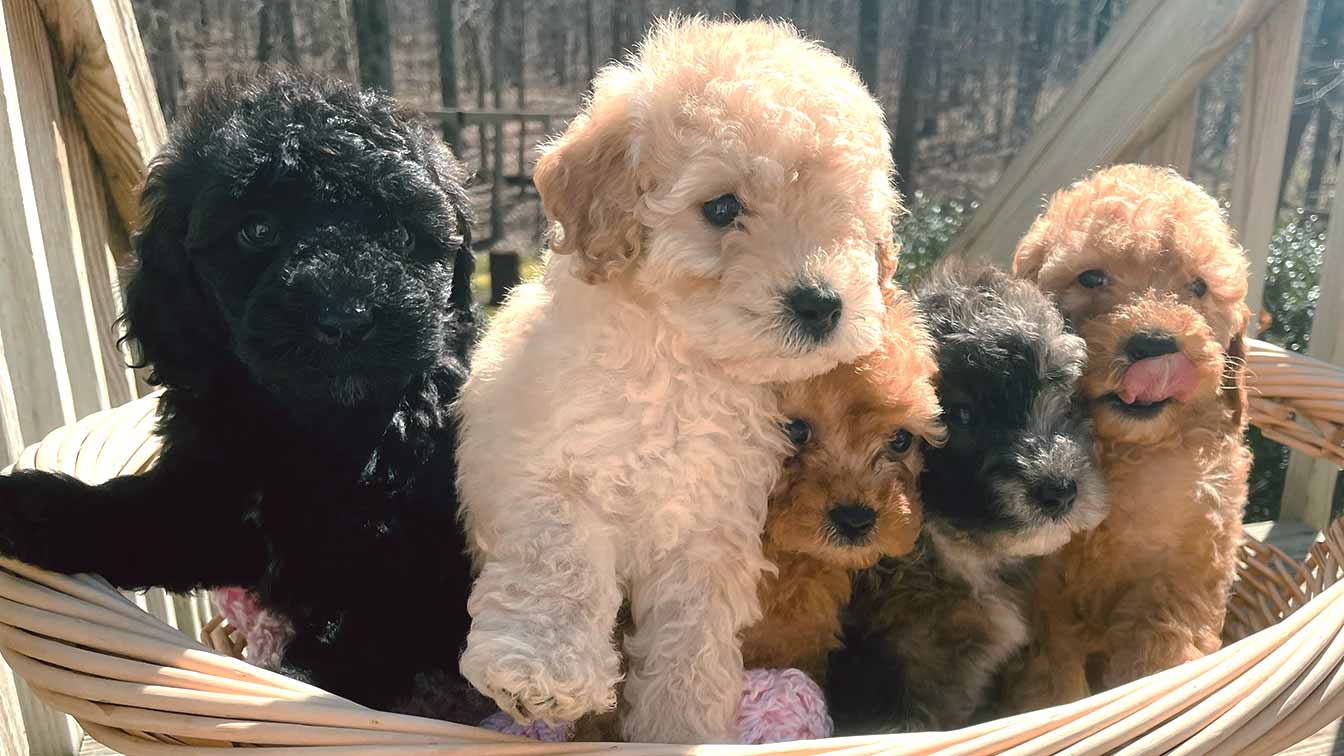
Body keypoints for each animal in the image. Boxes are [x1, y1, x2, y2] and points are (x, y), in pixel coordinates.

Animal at [0, 71, 489, 715]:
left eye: (401, 235)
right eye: (258, 230)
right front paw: (31, 505)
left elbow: (368, 631)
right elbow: (143, 518)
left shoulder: (413, 553)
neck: (313, 427)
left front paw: (299, 685)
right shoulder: (213, 499)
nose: (346, 318)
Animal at [454, 17, 903, 742]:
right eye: (720, 209)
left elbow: (692, 640)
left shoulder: (708, 530)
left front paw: (683, 723)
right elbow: (560, 561)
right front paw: (542, 674)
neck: (681, 361)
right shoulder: (543, 466)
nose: (821, 304)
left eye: (846, 216)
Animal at [1010, 162, 1252, 704]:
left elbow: (1163, 645)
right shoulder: (1043, 595)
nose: (1155, 344)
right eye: (1091, 277)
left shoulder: (1183, 567)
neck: (1124, 452)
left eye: (1198, 287)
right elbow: (1051, 672)